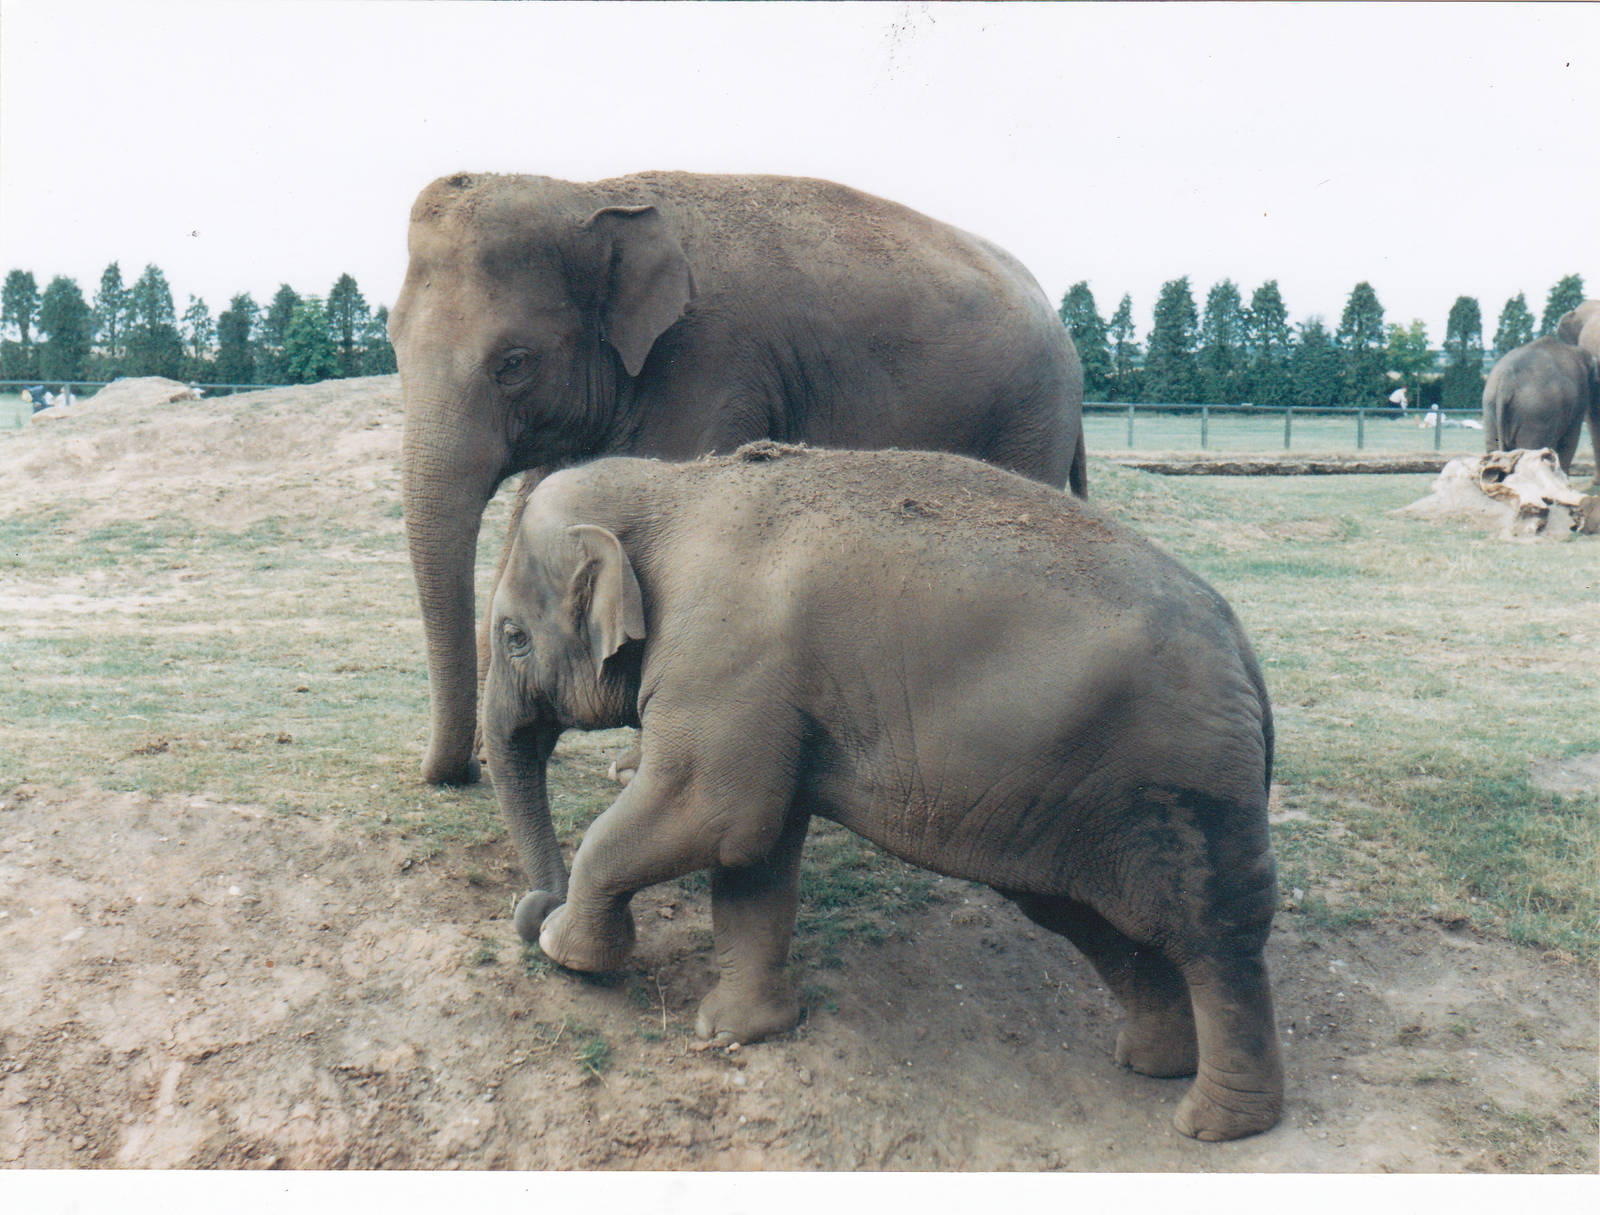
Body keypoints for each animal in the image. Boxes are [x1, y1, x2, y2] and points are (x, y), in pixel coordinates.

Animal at [388, 171, 1088, 786]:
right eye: (392, 342)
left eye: (513, 362)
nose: (457, 772)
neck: (594, 195)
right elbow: (533, 516)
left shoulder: (710, 366)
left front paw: (630, 771)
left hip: (1032, 417)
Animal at [484, 442, 1283, 1142]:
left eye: (514, 637)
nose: (531, 908)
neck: (672, 486)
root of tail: (1245, 649)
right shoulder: (769, 697)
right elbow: (756, 855)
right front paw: (737, 1031)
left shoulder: (723, 661)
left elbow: (712, 812)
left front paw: (568, 954)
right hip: (1080, 793)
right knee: (1092, 917)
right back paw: (1155, 1064)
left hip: (1186, 783)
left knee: (1214, 936)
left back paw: (1216, 1124)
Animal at [1482, 336, 1600, 477]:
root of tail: (1506, 382)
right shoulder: (1579, 396)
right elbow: (1570, 439)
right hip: (1534, 414)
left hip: (1490, 406)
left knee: (1492, 449)